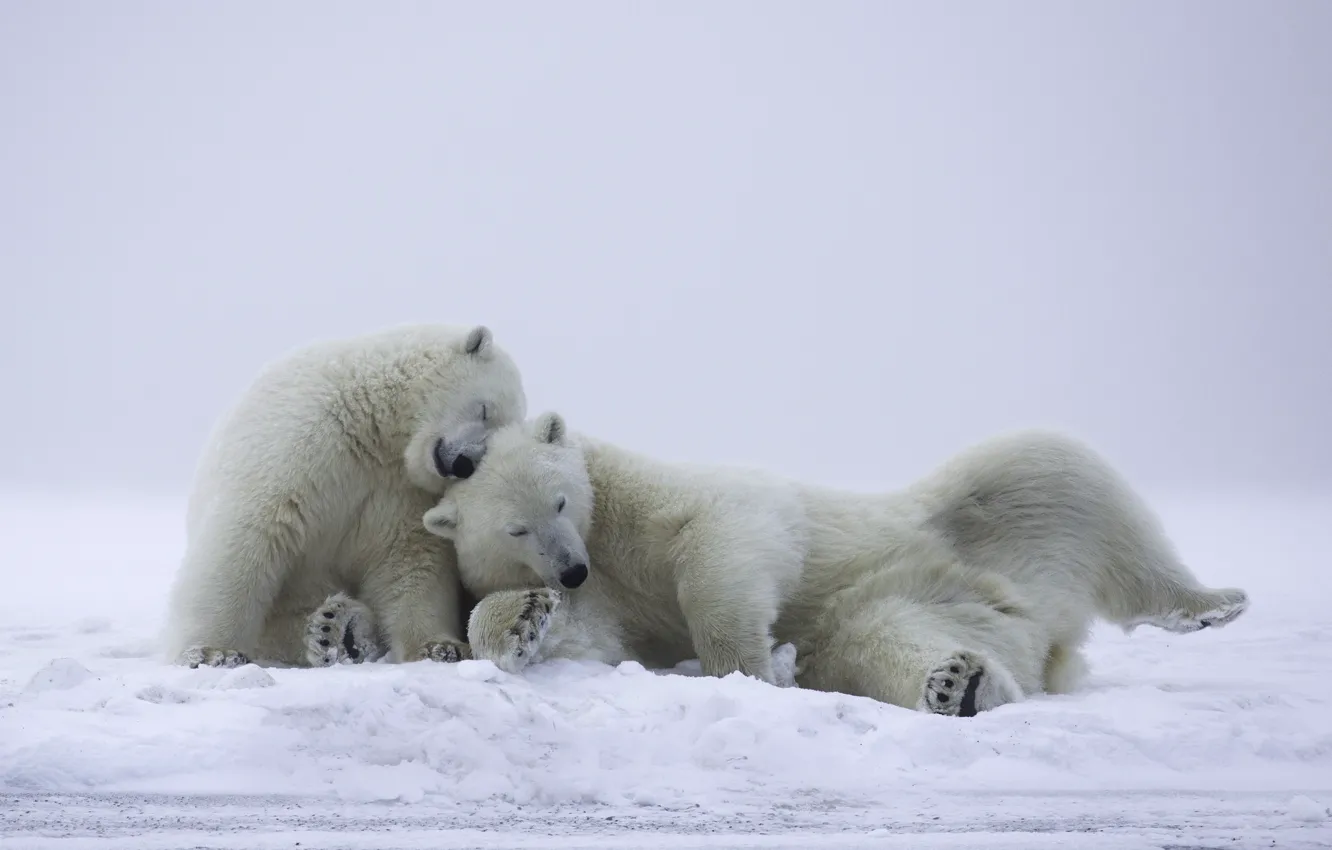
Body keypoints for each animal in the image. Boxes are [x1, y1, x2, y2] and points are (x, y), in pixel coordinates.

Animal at [161, 323, 527, 669]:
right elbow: (253, 535)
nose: (464, 463)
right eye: (484, 409)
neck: (376, 429)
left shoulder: (403, 491)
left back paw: (341, 628)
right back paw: (327, 629)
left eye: (491, 443)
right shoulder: (303, 441)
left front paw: (439, 647)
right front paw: (212, 652)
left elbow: (411, 559)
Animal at [422, 412, 1249, 715]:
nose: (569, 572)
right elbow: (590, 634)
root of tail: (1047, 631)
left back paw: (1210, 602)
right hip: (924, 598)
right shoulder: (609, 591)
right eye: (516, 528)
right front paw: (521, 621)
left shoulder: (655, 499)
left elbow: (729, 535)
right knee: (885, 641)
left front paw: (746, 666)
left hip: (979, 511)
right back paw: (958, 683)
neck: (609, 543)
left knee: (1061, 470)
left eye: (561, 502)